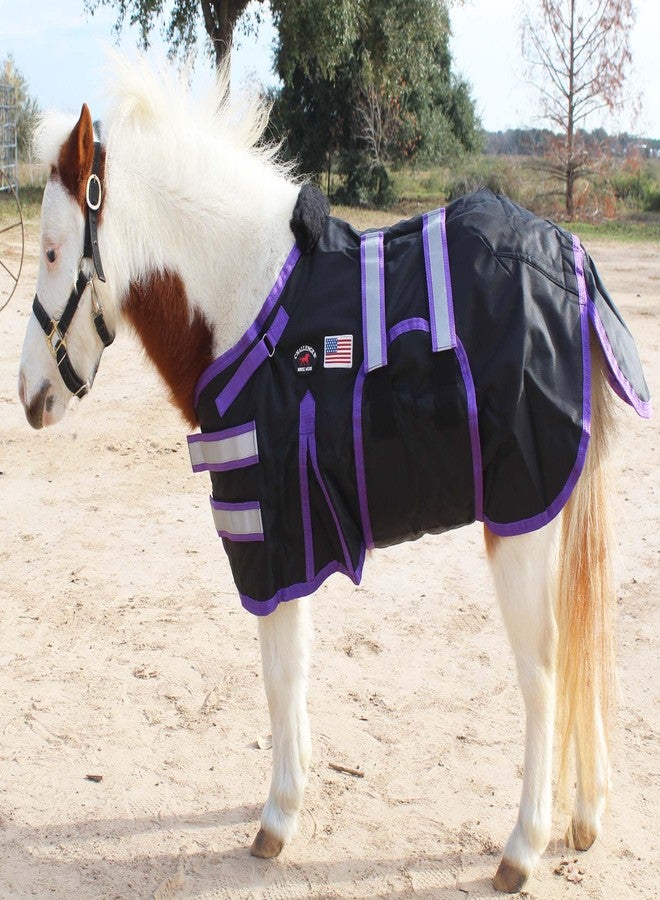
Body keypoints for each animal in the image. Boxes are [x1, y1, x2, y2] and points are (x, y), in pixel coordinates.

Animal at [17, 56, 650, 893]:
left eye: (56, 251)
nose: (29, 397)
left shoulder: (272, 536)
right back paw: (586, 816)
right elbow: (294, 669)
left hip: (520, 525)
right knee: (580, 655)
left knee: (544, 673)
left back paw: (523, 847)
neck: (249, 305)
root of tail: (571, 269)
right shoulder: (292, 541)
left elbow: (279, 672)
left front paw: (278, 816)